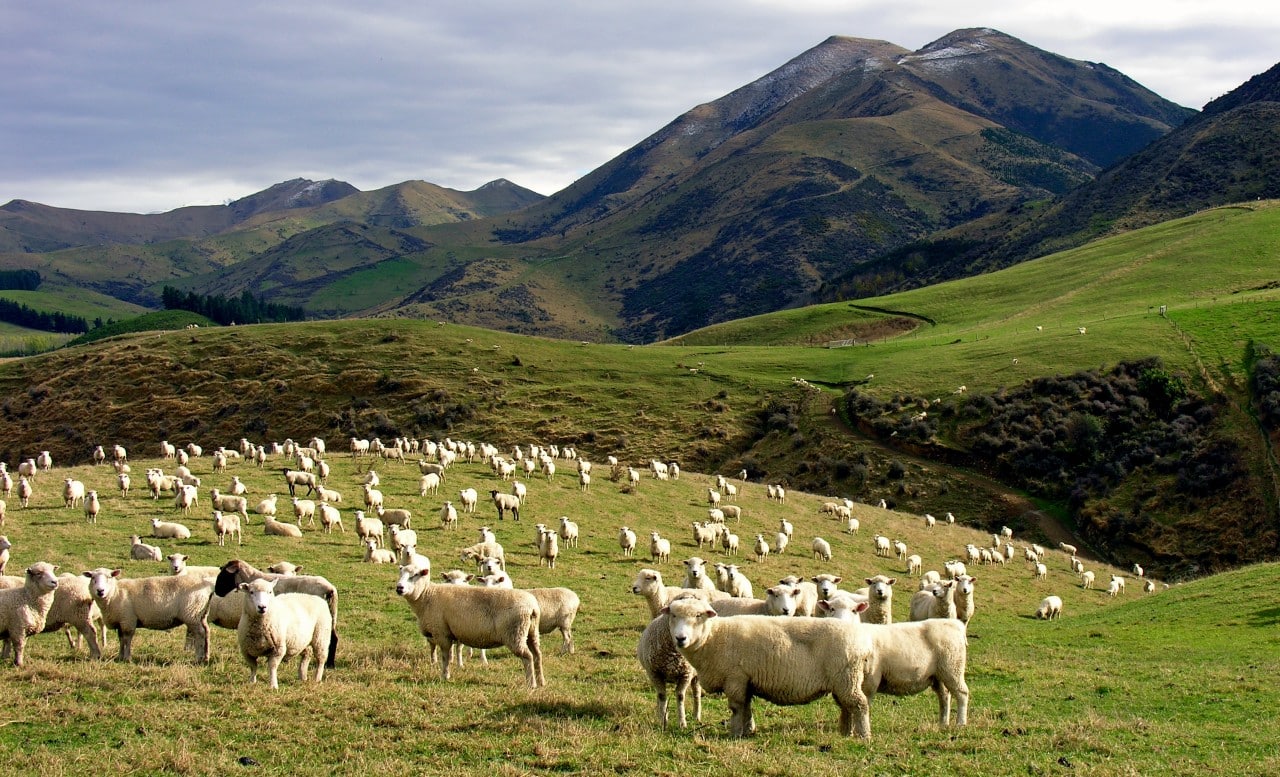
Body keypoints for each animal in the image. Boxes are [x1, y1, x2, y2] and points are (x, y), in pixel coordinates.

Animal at [80, 568, 212, 665]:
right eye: (92, 578)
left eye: (109, 577)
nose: (100, 591)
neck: (115, 594)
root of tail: (206, 588)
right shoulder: (121, 621)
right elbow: (121, 640)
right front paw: (120, 656)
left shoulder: (128, 620)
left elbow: (127, 639)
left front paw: (127, 658)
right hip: (201, 613)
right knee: (206, 631)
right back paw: (206, 656)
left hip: (192, 613)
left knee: (200, 633)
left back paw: (199, 657)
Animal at [394, 565, 545, 686]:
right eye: (400, 574)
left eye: (415, 575)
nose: (399, 588)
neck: (426, 595)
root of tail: (532, 607)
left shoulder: (442, 633)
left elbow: (445, 657)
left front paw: (445, 676)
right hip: (531, 632)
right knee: (537, 655)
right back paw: (541, 681)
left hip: (515, 634)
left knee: (527, 656)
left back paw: (531, 684)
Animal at [660, 599, 880, 737]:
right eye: (673, 615)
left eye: (699, 615)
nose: (680, 638)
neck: (713, 637)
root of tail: (863, 643)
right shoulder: (747, 680)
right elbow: (747, 706)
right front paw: (748, 730)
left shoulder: (736, 677)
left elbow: (736, 708)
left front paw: (735, 733)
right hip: (842, 681)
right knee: (847, 706)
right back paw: (845, 732)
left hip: (847, 678)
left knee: (860, 704)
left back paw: (863, 735)